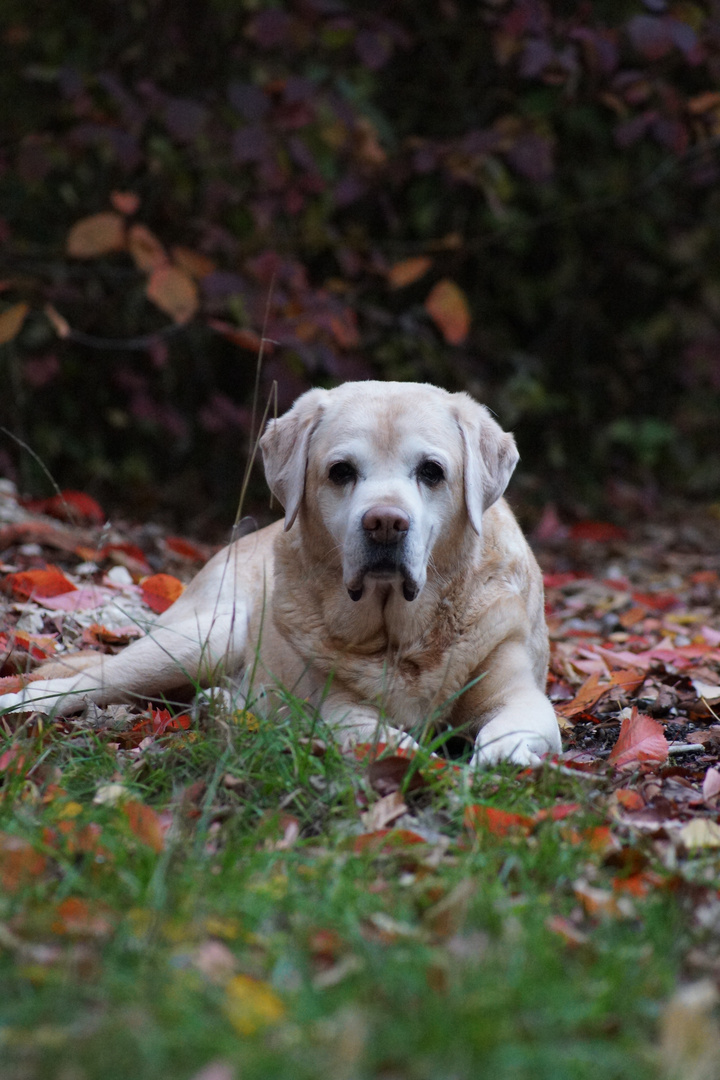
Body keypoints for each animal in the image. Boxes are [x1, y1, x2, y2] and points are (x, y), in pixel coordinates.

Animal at [0, 384, 561, 764]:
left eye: (431, 472)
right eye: (341, 471)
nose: (384, 523)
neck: (401, 636)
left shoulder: (520, 693)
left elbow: (509, 727)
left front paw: (502, 758)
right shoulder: (335, 705)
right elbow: (377, 733)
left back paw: (220, 707)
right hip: (204, 636)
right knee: (85, 680)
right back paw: (23, 703)